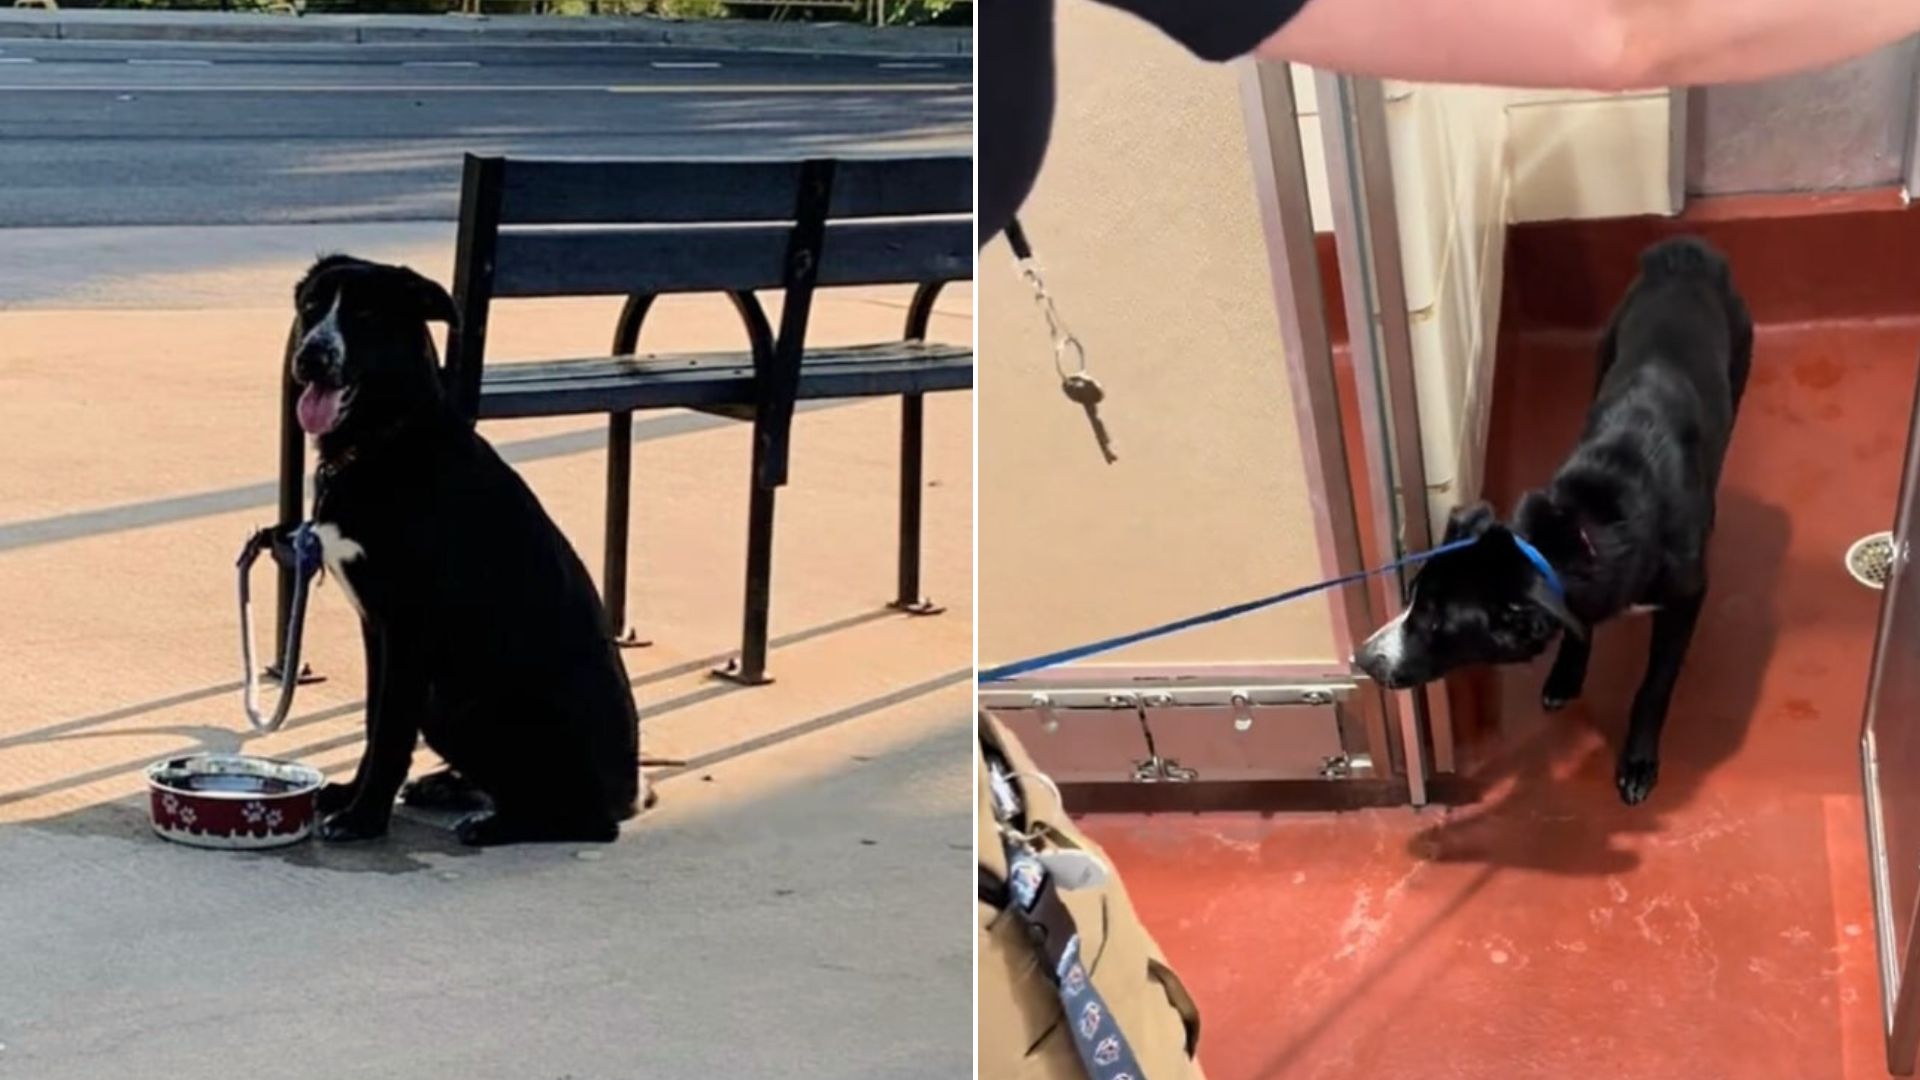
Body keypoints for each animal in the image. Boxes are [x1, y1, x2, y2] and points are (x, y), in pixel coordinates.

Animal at [284, 251, 645, 841]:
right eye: (312, 306)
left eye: (365, 314)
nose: (312, 356)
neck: (385, 439)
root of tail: (630, 794)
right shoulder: (378, 629)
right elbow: (374, 721)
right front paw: (353, 794)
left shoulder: (409, 629)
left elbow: (390, 731)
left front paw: (365, 818)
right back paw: (450, 787)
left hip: (462, 705)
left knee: (585, 821)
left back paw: (496, 823)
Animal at [1359, 237, 1751, 807]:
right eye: (1410, 597)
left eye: (1435, 622)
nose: (1363, 659)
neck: (1578, 526)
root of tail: (1685, 256)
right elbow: (1577, 627)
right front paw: (1566, 675)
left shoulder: (1686, 598)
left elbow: (1655, 684)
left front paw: (1638, 759)